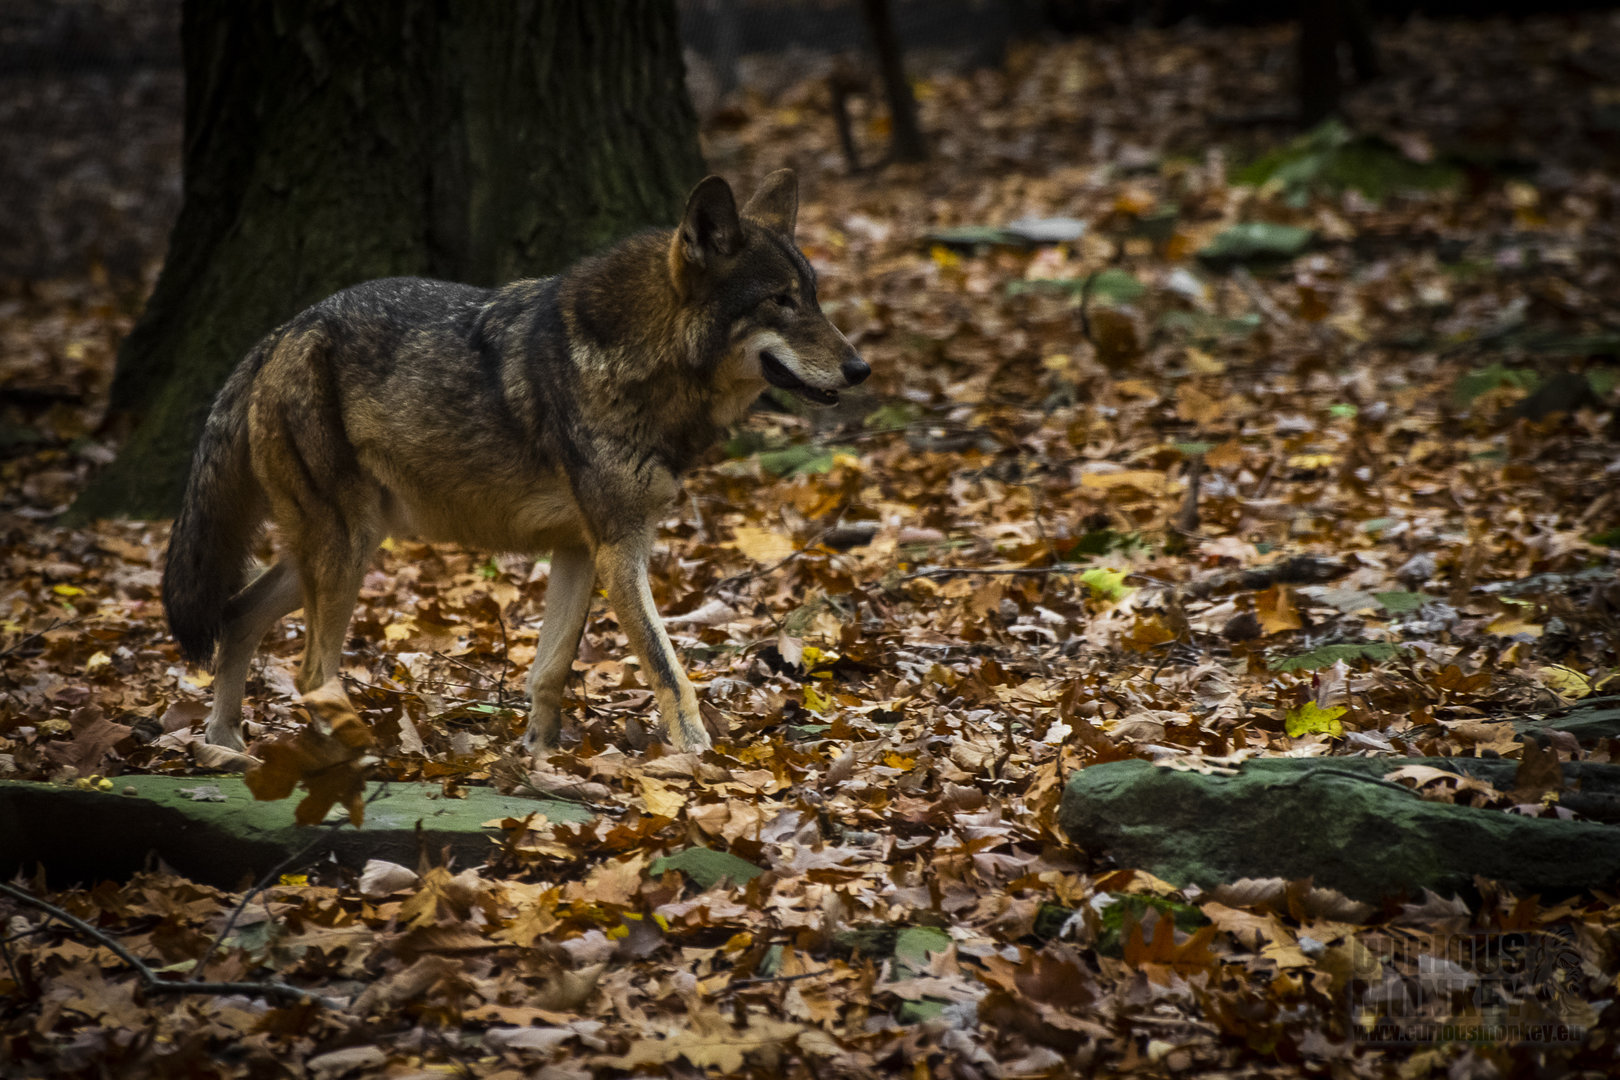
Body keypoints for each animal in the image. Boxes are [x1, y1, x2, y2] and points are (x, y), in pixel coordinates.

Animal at [161, 169, 867, 755]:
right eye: (780, 301)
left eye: (813, 297)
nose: (861, 368)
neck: (642, 362)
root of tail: (278, 334)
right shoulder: (621, 547)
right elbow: (670, 672)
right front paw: (699, 760)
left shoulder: (581, 549)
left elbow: (549, 673)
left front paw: (541, 761)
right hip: (346, 550)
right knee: (311, 674)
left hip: (346, 543)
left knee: (237, 614)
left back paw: (225, 745)